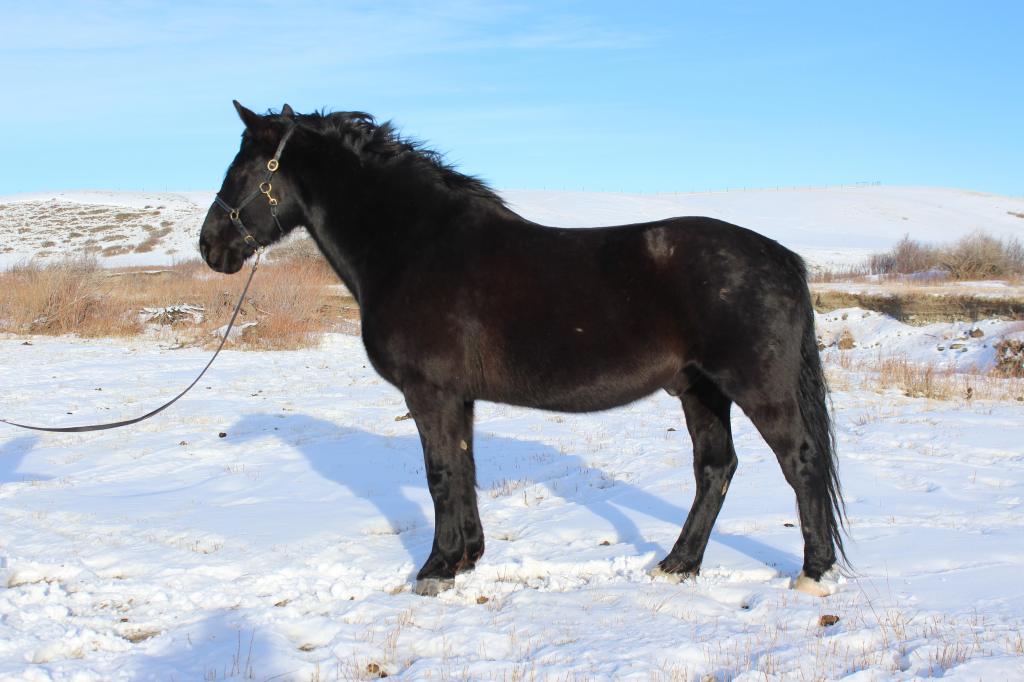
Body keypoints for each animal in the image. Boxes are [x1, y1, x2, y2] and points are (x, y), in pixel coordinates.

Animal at [200, 102, 847, 597]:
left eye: (243, 170)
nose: (211, 245)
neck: (413, 245)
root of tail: (782, 258)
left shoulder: (430, 393)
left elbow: (440, 473)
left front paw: (435, 570)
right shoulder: (457, 398)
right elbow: (463, 469)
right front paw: (465, 558)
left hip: (756, 388)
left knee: (801, 462)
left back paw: (813, 575)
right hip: (700, 390)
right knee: (715, 469)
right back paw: (677, 565)